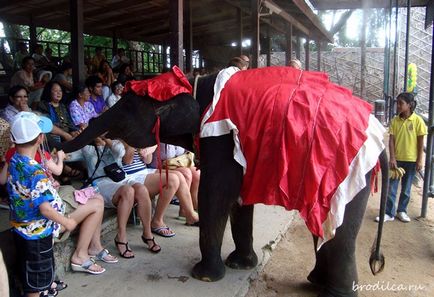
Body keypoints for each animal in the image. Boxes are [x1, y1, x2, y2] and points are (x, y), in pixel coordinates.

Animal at [60, 66, 386, 296]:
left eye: (127, 106)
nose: (57, 148)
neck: (195, 81)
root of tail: (380, 132)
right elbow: (238, 199)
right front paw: (240, 265)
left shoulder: (220, 138)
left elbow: (215, 195)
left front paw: (204, 276)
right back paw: (315, 282)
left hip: (349, 173)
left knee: (341, 236)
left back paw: (333, 293)